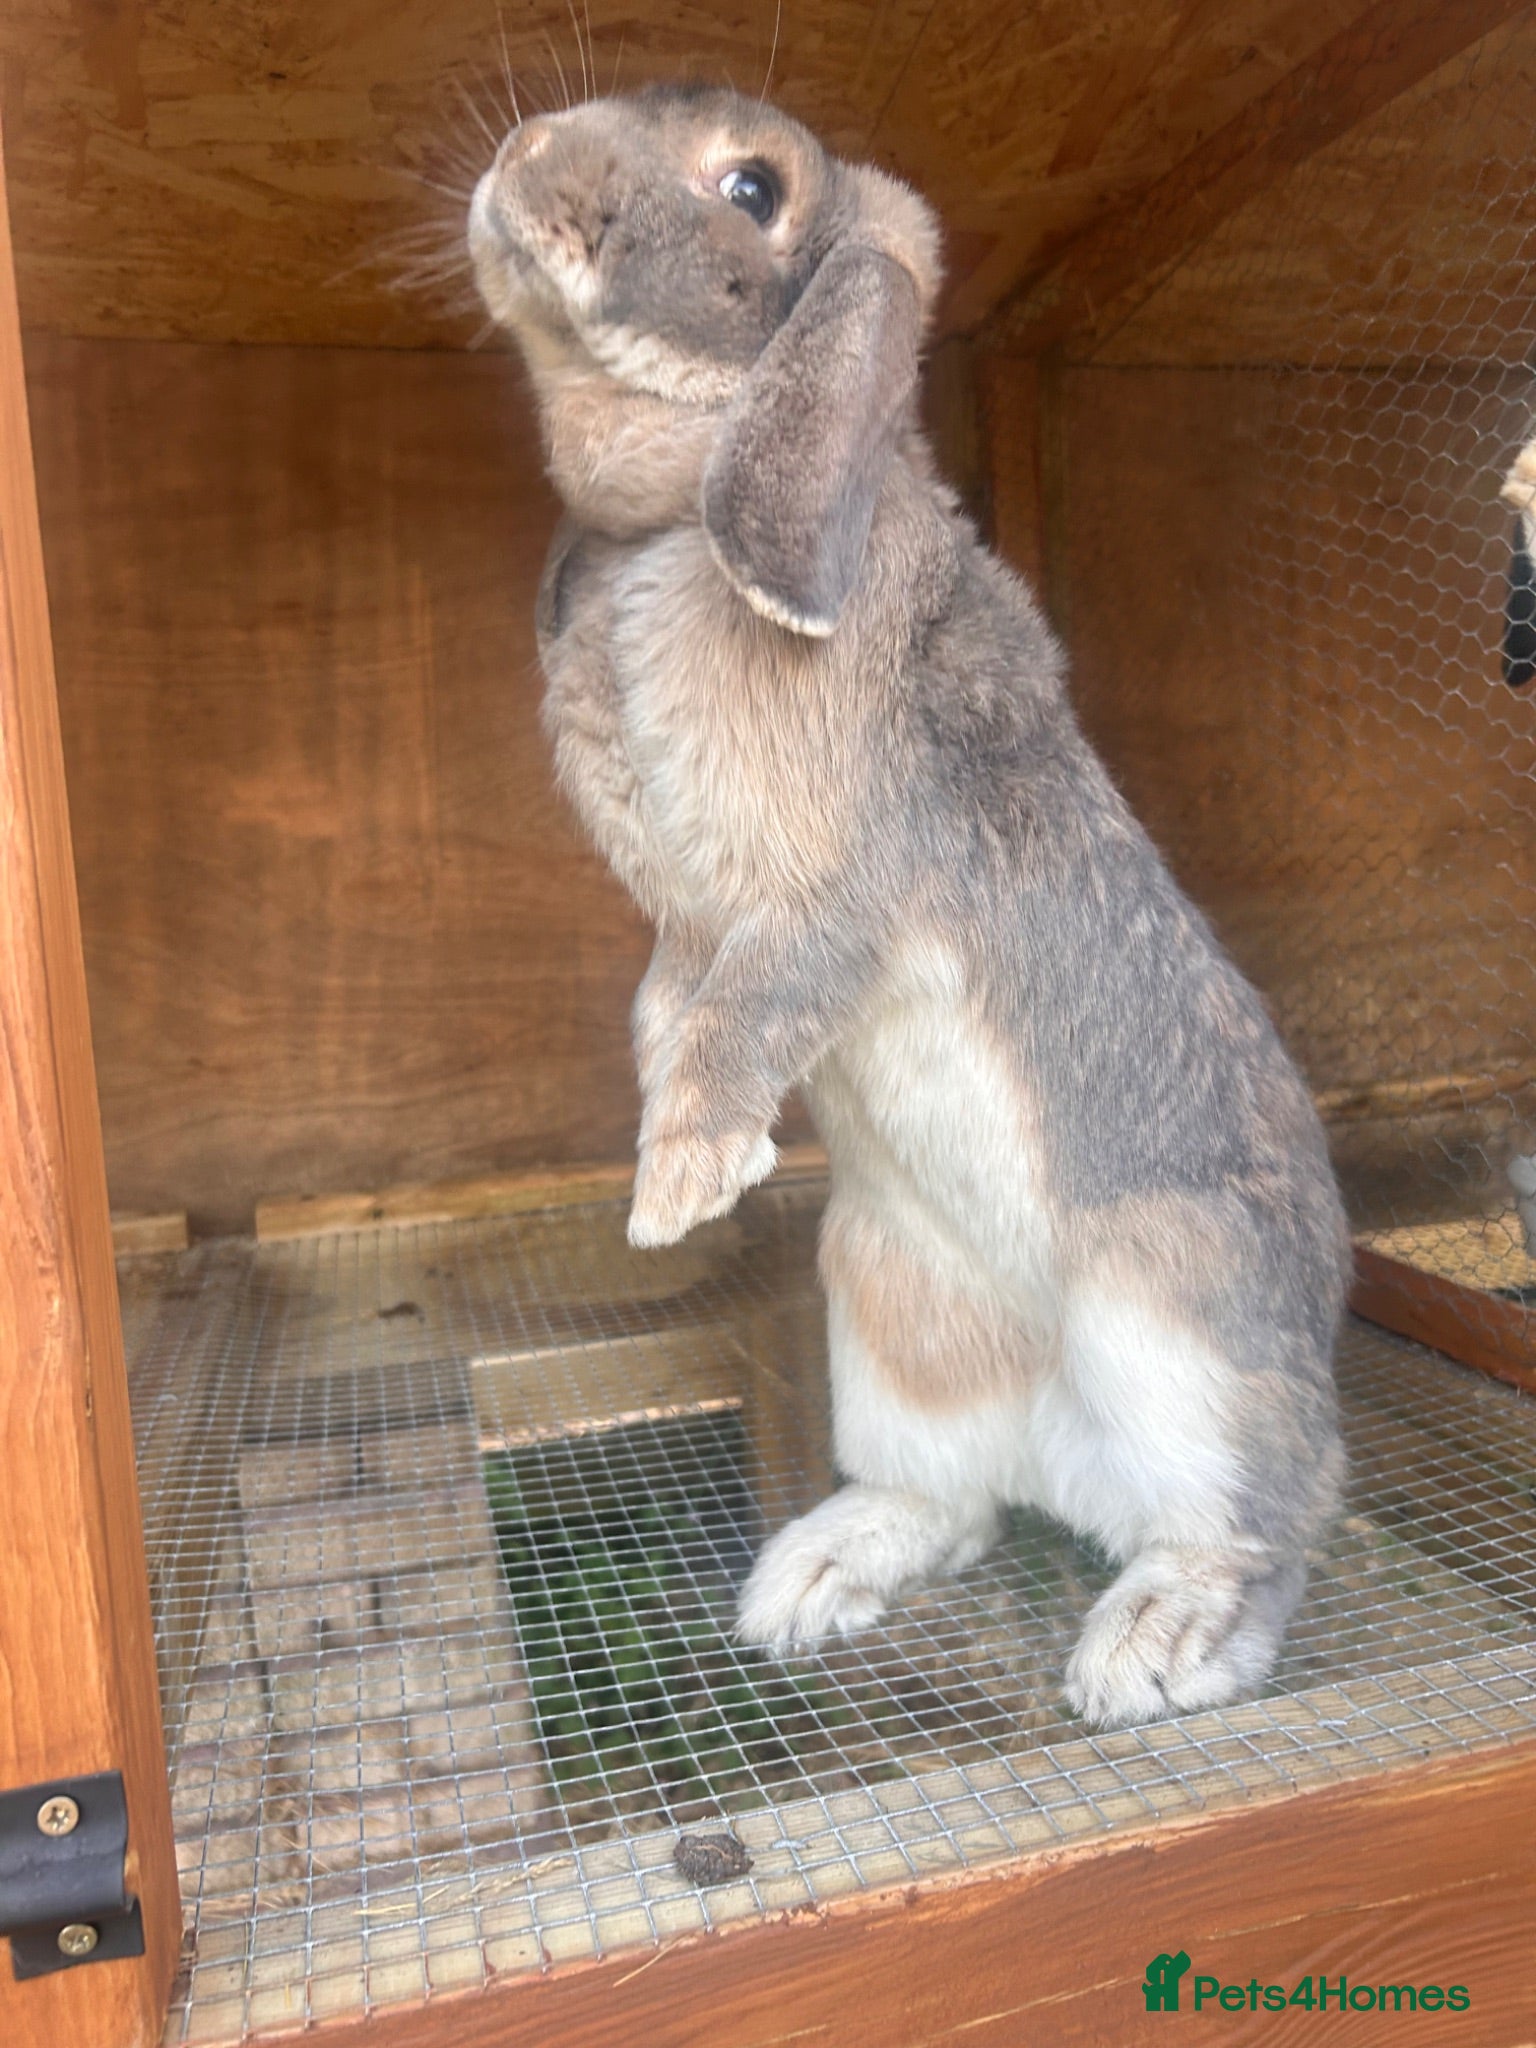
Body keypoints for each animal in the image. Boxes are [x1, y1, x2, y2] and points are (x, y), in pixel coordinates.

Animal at [468, 82, 1348, 1728]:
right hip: (886, 1311)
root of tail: (1064, 1455)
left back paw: (1155, 1643)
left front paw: (678, 1190)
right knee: (957, 1502)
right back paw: (814, 1576)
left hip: (1178, 1318)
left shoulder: (832, 896)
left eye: (753, 187)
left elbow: (746, 1014)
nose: (518, 160)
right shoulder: (684, 929)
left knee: (1271, 1513)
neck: (666, 519)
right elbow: (665, 1014)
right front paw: (707, 1173)